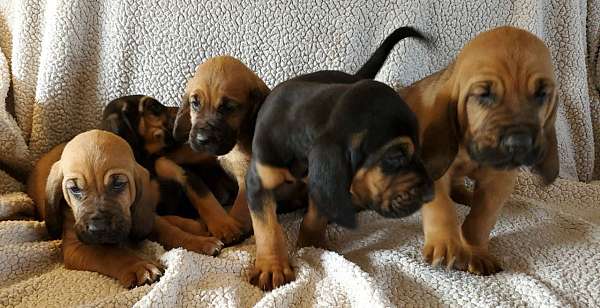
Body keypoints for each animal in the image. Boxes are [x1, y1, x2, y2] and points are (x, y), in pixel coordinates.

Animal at [27, 129, 223, 288]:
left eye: (118, 184)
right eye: (74, 189)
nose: (98, 228)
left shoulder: (140, 215)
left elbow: (170, 231)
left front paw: (199, 242)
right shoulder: (76, 246)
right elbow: (109, 253)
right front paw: (139, 267)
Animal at [172, 55, 274, 243]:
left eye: (228, 108)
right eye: (195, 103)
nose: (202, 140)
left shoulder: (246, 178)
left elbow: (240, 209)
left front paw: (229, 227)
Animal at [245, 27, 432, 292]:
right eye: (395, 156)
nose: (430, 192)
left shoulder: (324, 182)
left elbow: (315, 216)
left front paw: (312, 244)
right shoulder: (258, 182)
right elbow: (267, 227)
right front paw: (272, 267)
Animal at [398, 26, 564, 276]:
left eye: (541, 94)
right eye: (484, 94)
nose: (519, 143)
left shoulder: (498, 180)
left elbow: (482, 217)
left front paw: (476, 251)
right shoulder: (434, 169)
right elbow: (442, 207)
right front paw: (446, 243)